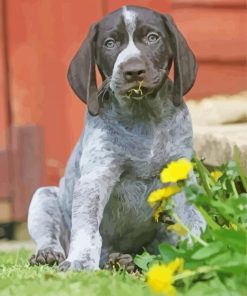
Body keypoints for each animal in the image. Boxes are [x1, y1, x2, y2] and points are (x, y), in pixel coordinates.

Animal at [27, 5, 206, 272]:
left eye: (153, 38)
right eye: (110, 43)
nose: (133, 71)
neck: (143, 118)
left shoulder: (179, 172)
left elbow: (193, 219)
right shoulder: (96, 177)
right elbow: (88, 229)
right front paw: (80, 261)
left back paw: (124, 262)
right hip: (44, 198)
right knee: (50, 236)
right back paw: (50, 254)